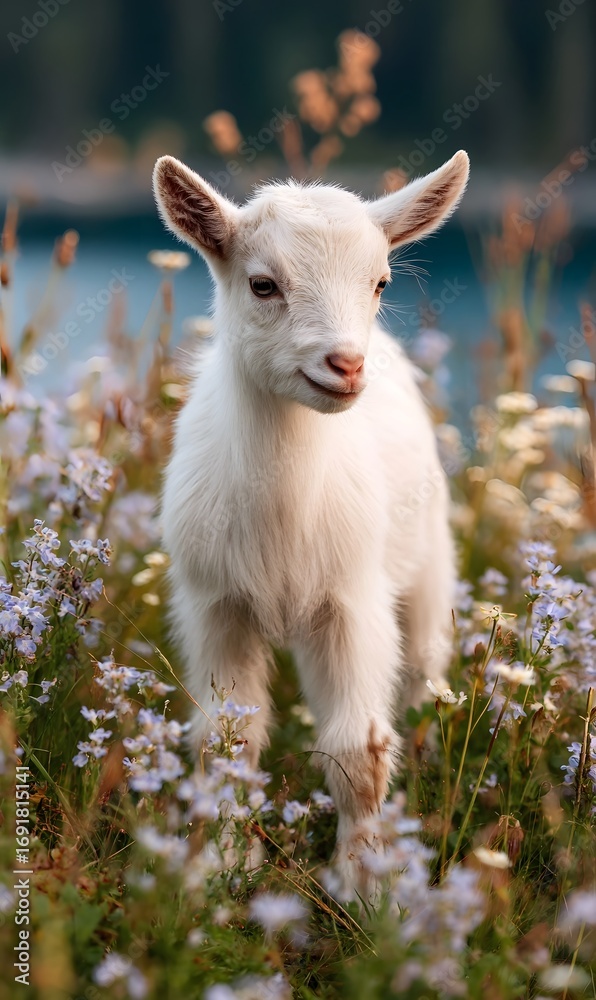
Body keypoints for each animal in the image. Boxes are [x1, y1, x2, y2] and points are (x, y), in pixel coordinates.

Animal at [153, 151, 469, 892]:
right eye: (263, 284)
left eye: (380, 282)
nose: (345, 365)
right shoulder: (217, 607)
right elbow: (228, 739)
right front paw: (224, 869)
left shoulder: (352, 604)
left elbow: (357, 751)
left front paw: (361, 883)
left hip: (428, 574)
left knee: (422, 677)